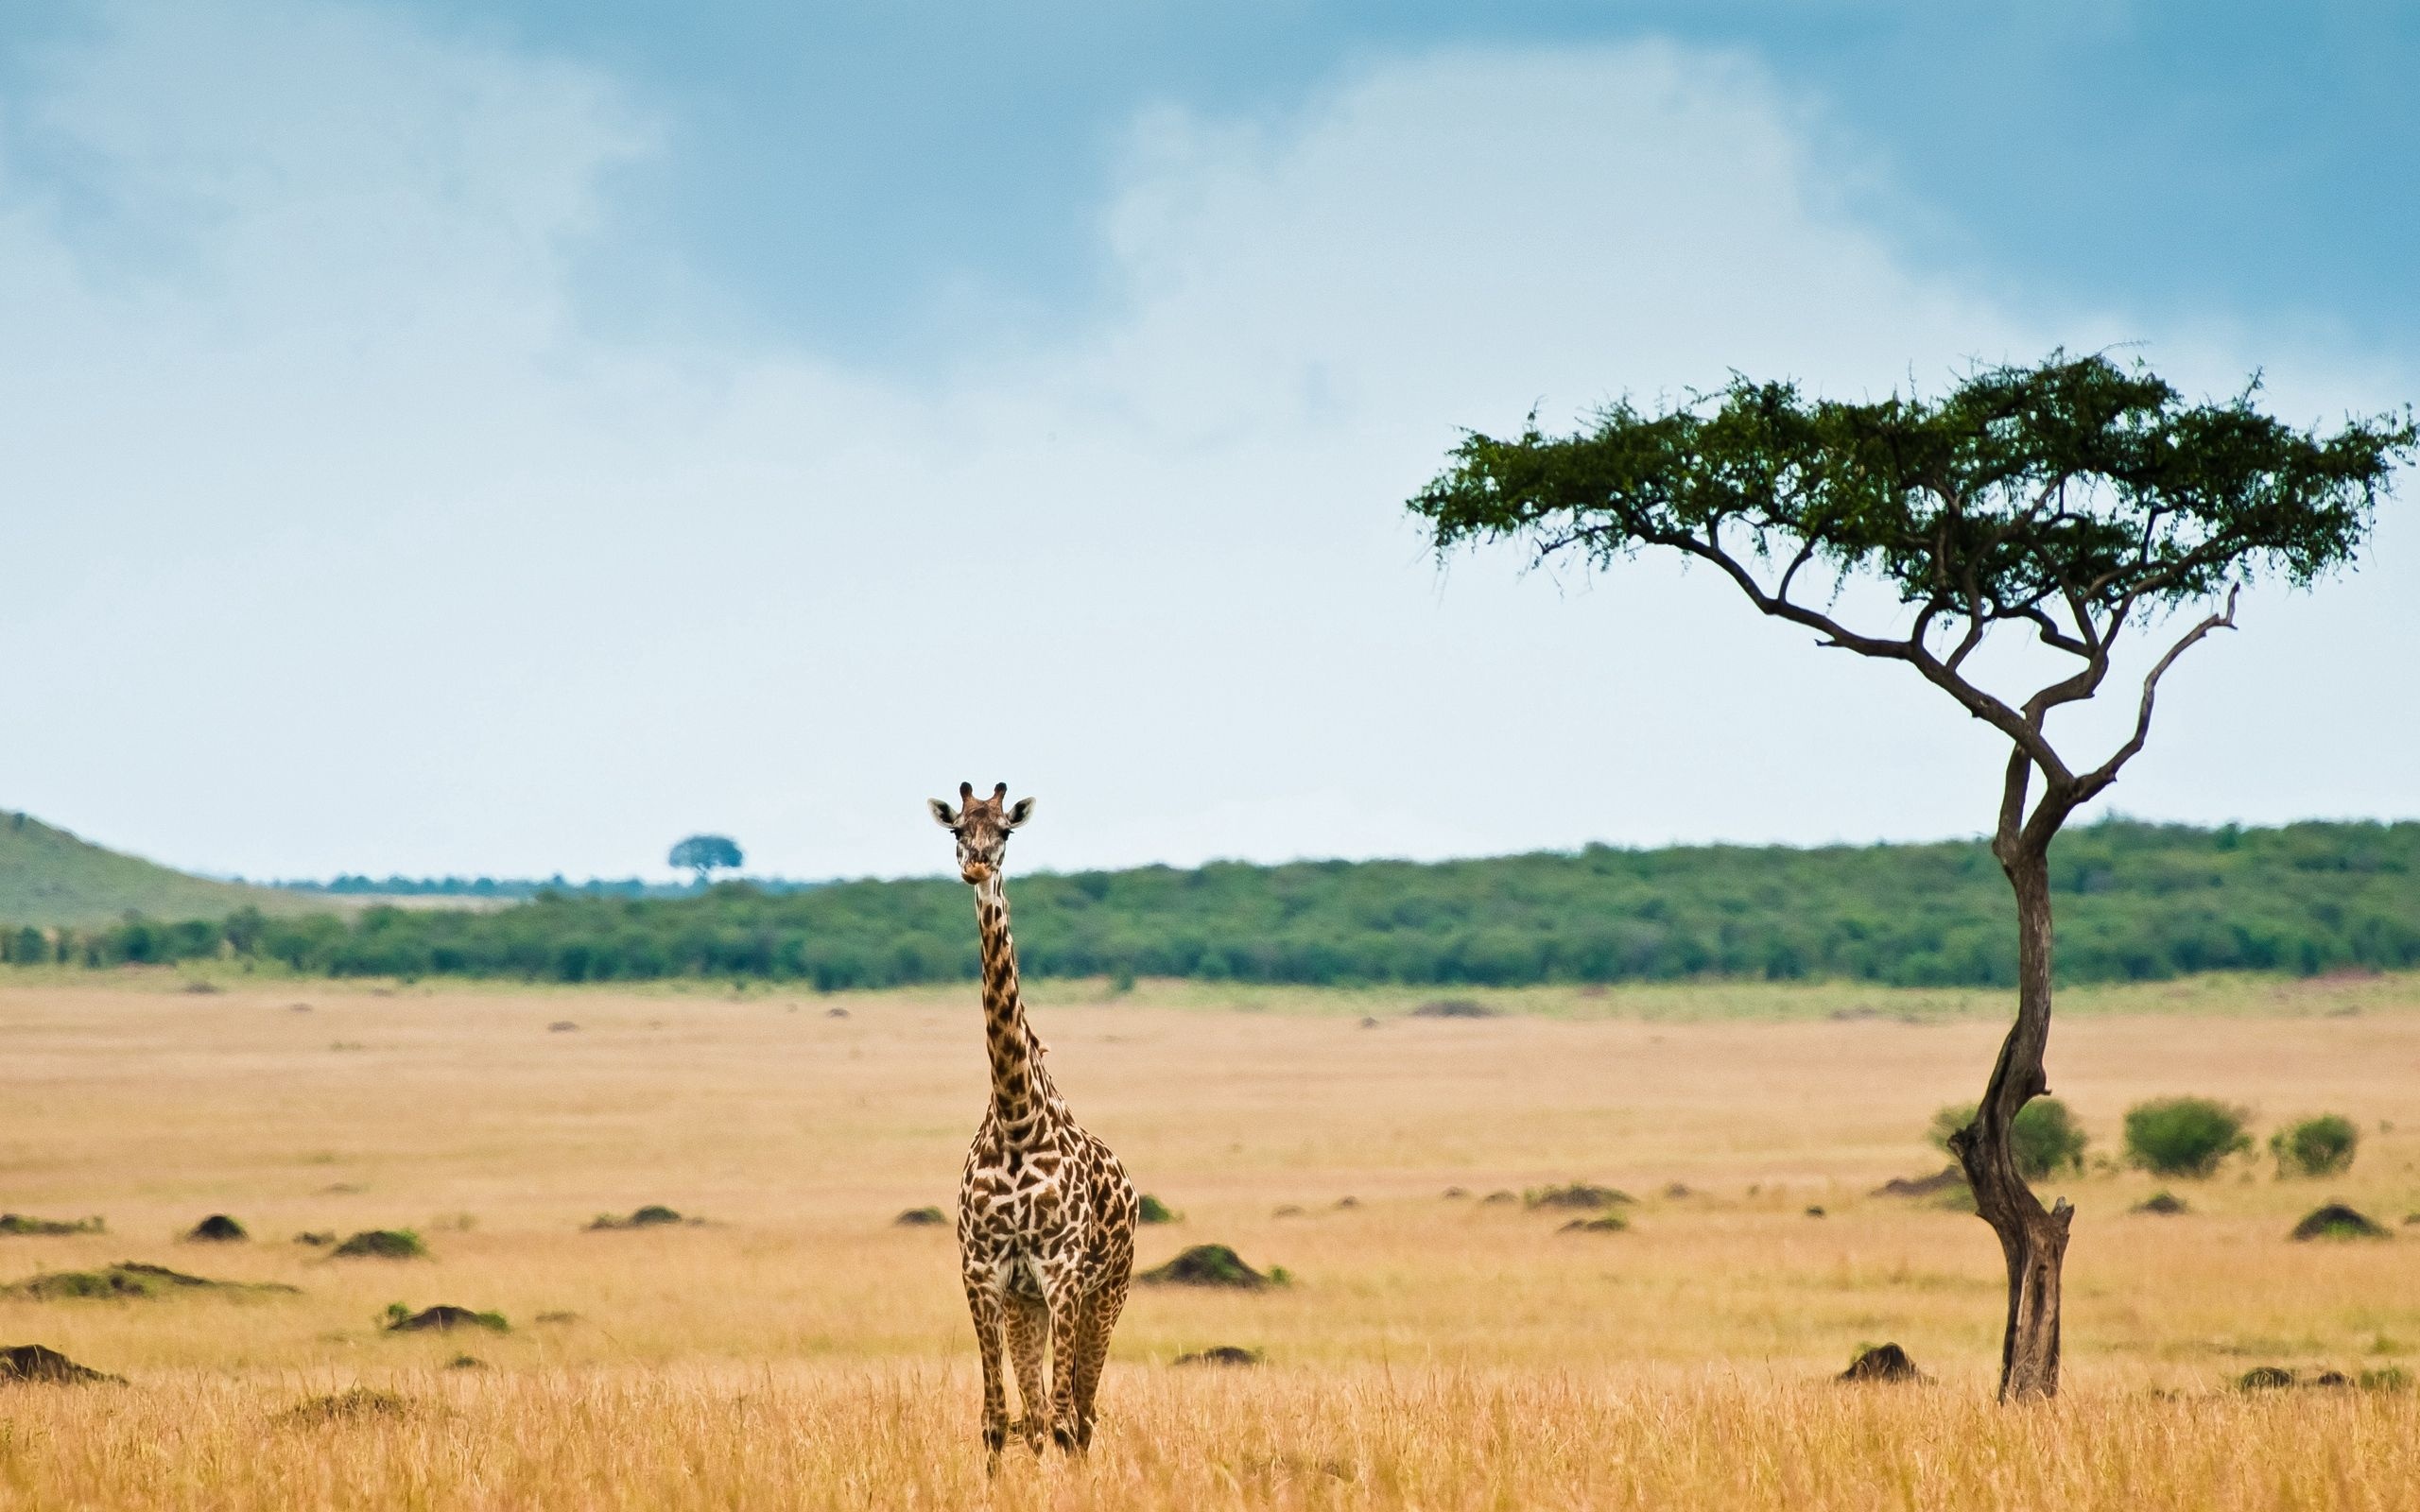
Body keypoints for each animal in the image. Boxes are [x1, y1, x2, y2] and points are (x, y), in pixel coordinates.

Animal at [934, 783, 1142, 1461]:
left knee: (1082, 1414)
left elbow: (1063, 1418)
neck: (1017, 1118)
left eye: (1005, 830)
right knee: (1037, 1415)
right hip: (1028, 1305)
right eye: (957, 831)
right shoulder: (983, 1272)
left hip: (1107, 1292)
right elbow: (998, 1420)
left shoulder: (1063, 1271)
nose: (977, 865)